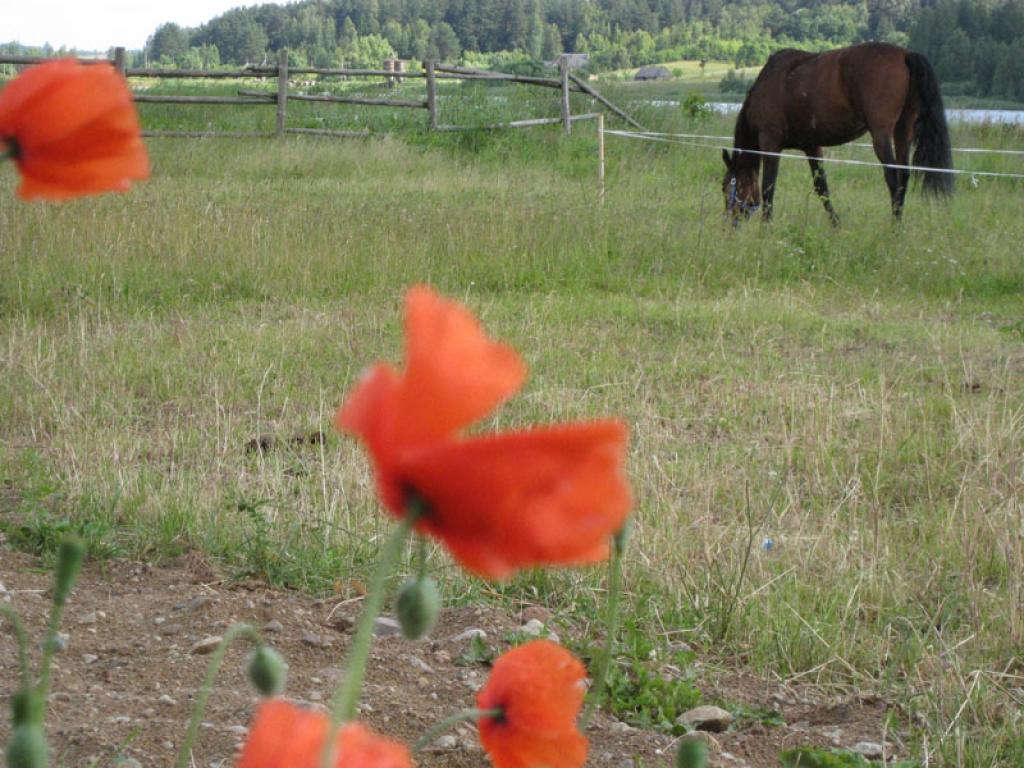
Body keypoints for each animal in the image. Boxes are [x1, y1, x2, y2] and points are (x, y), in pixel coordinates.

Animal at [720, 41, 950, 224]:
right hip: (903, 132)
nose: (730, 222)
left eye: (724, 187)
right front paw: (836, 224)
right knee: (903, 176)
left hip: (881, 136)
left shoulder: (770, 142)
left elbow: (769, 186)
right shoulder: (812, 146)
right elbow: (822, 187)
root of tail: (904, 54)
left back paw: (894, 226)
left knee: (892, 176)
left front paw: (766, 227)